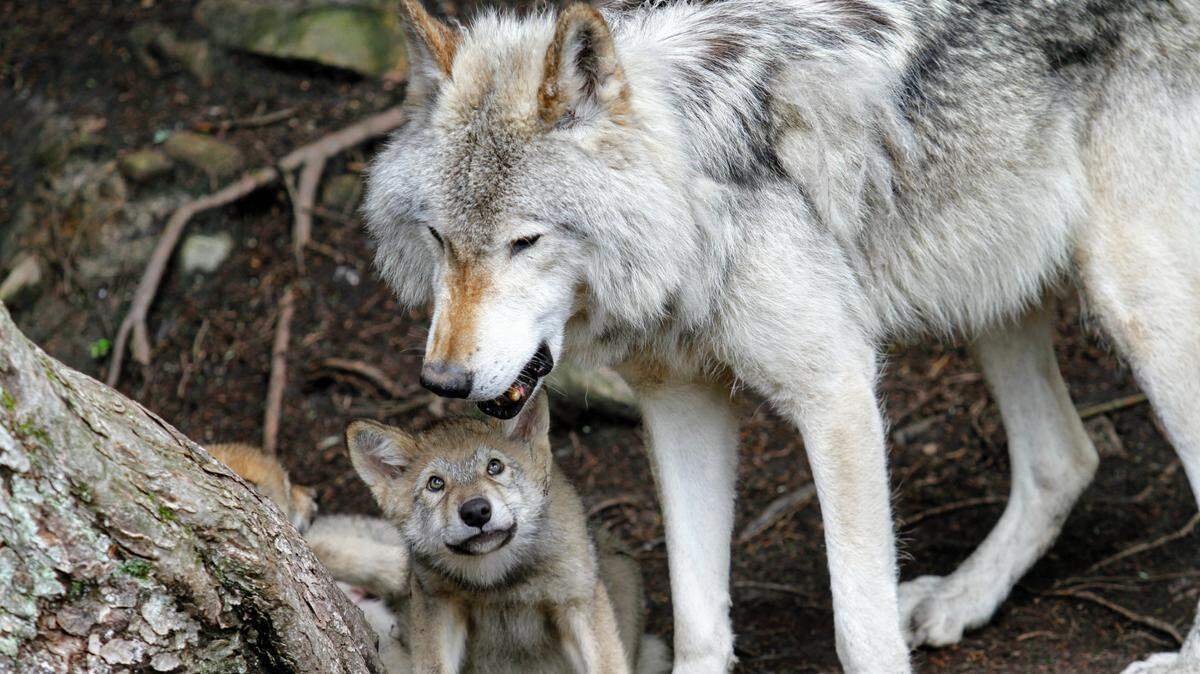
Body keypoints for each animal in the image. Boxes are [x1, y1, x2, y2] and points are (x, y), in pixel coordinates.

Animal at [345, 393, 669, 673]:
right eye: (435, 484)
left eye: (494, 466)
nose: (476, 512)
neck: (500, 582)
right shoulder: (437, 604)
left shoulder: (577, 602)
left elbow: (608, 664)